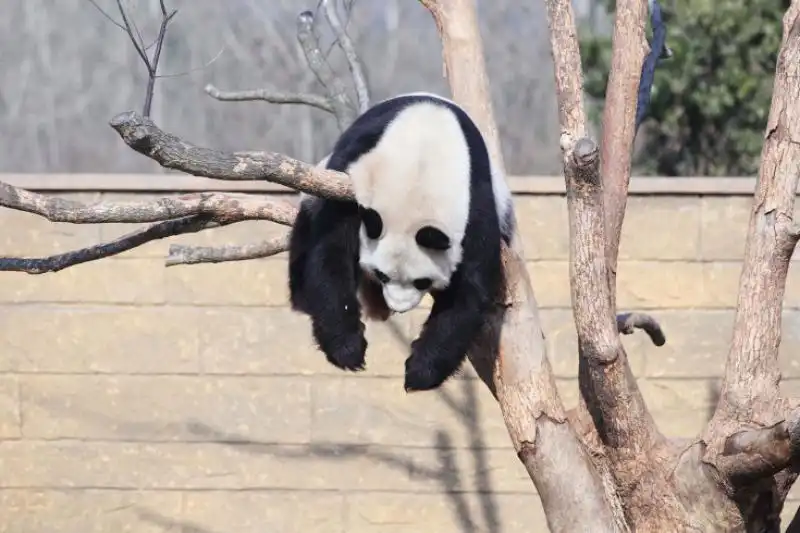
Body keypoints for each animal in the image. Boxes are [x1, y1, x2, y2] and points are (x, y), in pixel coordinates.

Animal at [284, 91, 516, 390]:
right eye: (382, 275)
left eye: (422, 282)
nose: (398, 306)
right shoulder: (352, 181)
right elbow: (331, 252)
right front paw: (348, 348)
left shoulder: (475, 202)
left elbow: (468, 288)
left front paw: (420, 371)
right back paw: (303, 299)